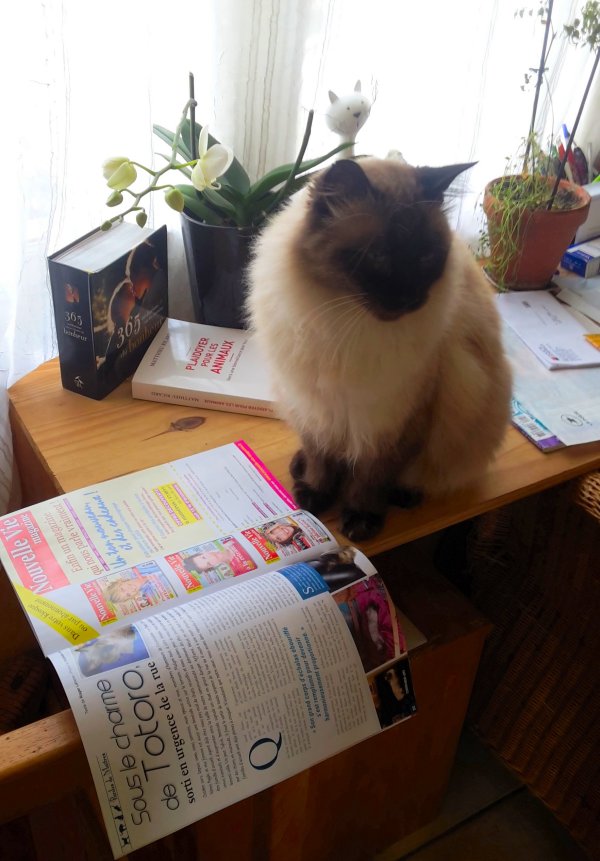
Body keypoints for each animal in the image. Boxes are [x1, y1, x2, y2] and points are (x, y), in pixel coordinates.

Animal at [246, 157, 512, 541]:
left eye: (426, 257)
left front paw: (360, 519)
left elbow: (371, 478)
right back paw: (299, 470)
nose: (410, 299)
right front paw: (314, 498)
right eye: (378, 257)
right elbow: (321, 459)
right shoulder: (314, 408)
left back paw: (404, 495)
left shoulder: (394, 421)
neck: (346, 324)